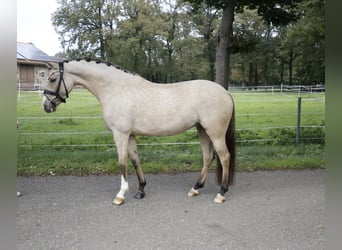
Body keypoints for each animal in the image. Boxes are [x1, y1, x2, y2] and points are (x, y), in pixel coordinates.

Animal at [42, 59, 235, 205]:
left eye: (53, 79)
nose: (46, 106)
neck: (116, 89)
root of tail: (225, 92)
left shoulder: (120, 134)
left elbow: (122, 163)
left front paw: (120, 195)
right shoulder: (131, 135)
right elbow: (135, 161)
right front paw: (141, 190)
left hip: (215, 132)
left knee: (224, 157)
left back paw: (221, 193)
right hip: (202, 130)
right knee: (208, 157)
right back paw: (195, 188)